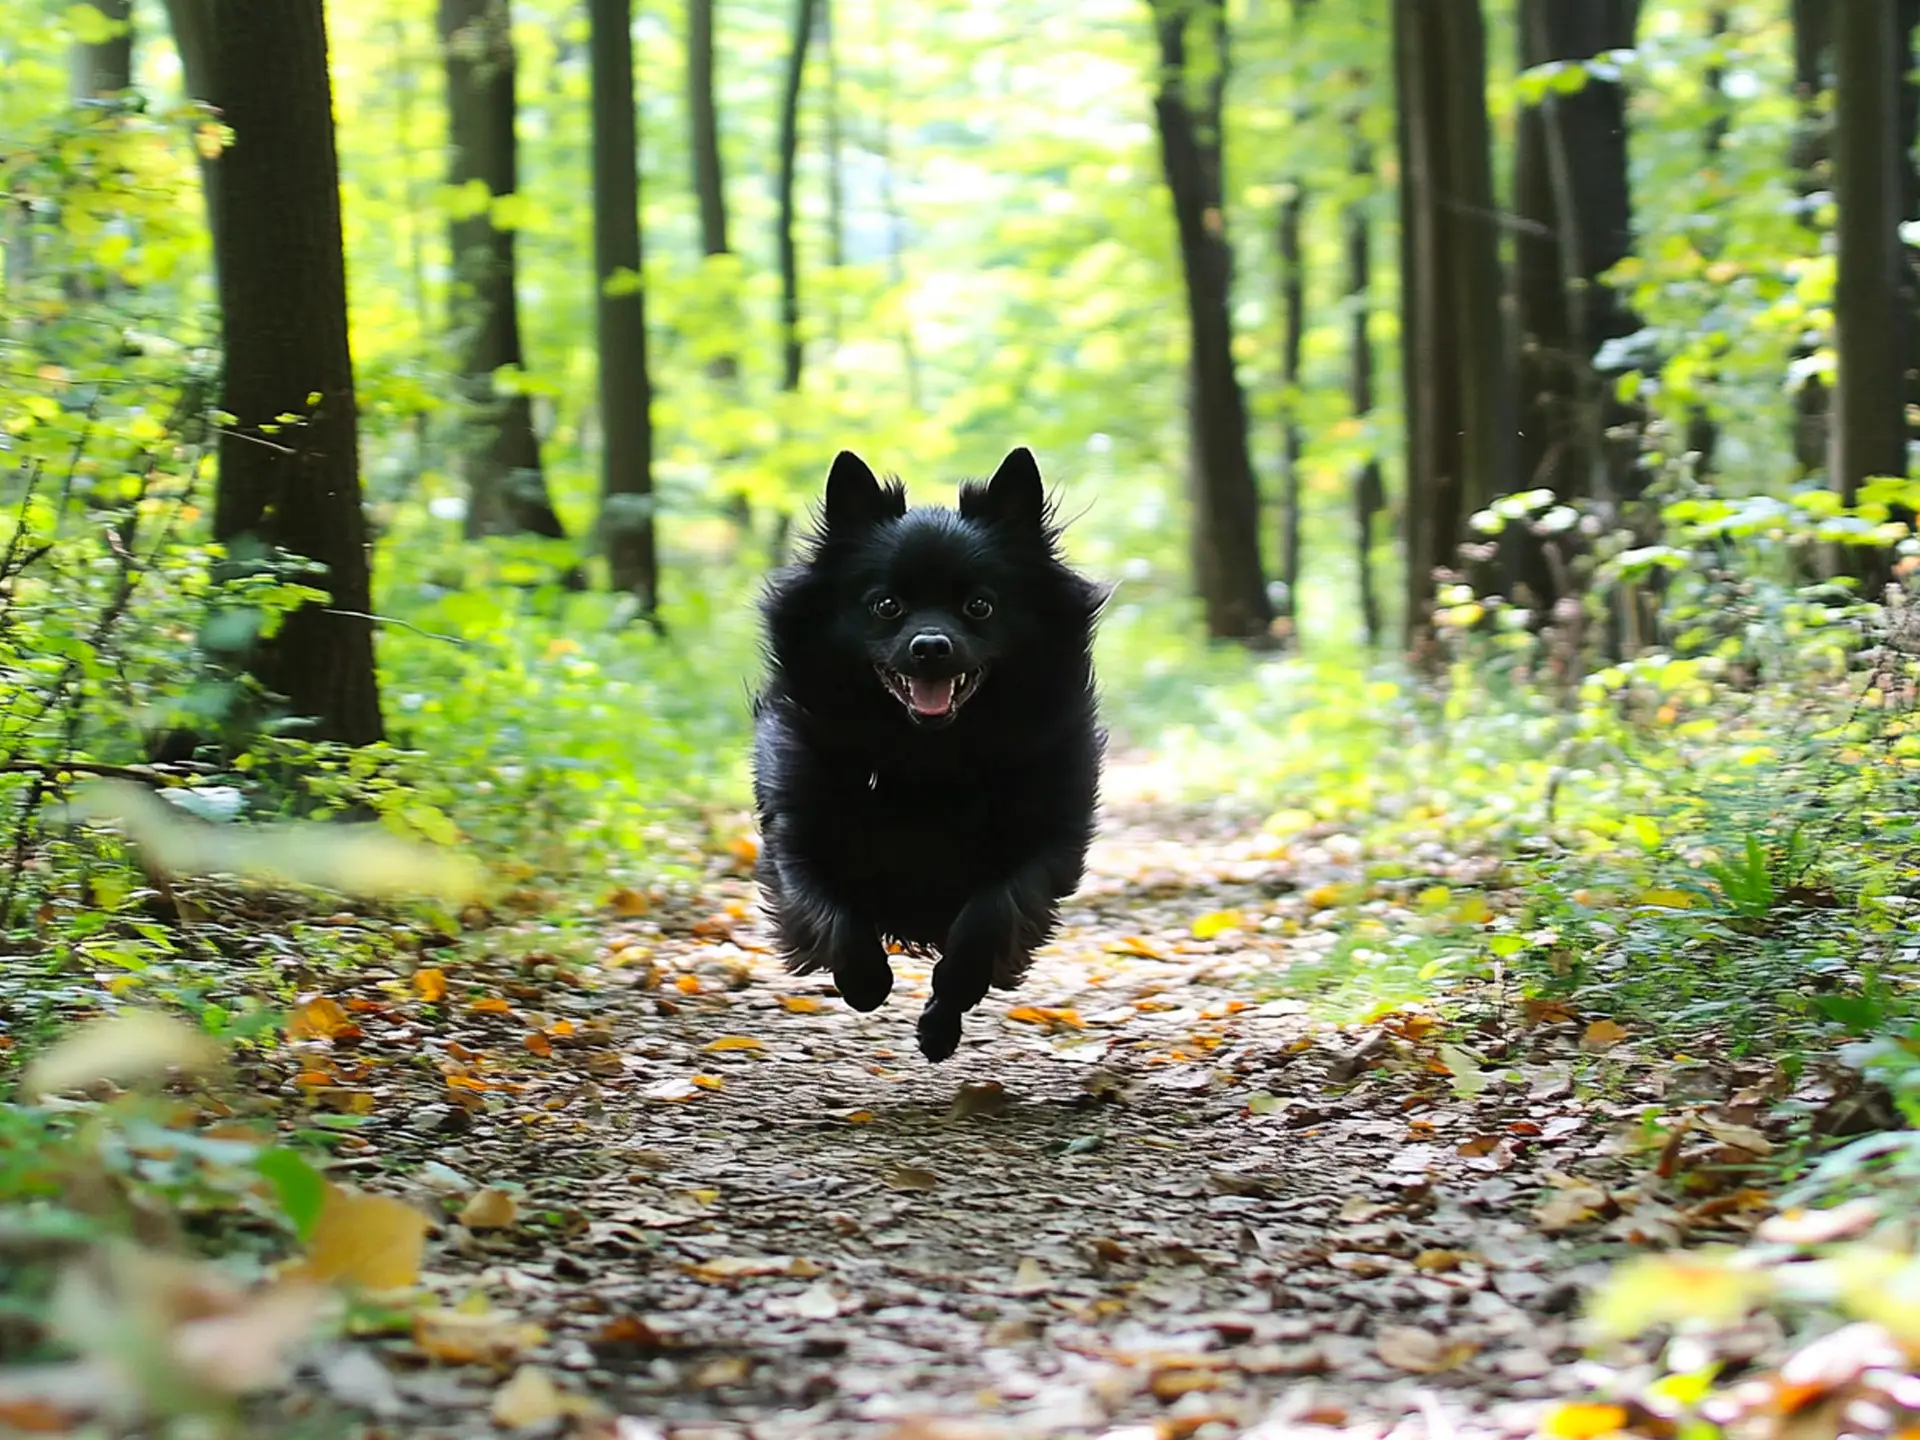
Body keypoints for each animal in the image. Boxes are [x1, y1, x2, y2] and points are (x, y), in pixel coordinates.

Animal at [752, 456, 1113, 1067]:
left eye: (979, 605)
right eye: (886, 605)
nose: (930, 647)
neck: (928, 756)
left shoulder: (1046, 846)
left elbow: (989, 917)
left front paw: (952, 991)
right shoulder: (797, 838)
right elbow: (831, 913)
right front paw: (864, 980)